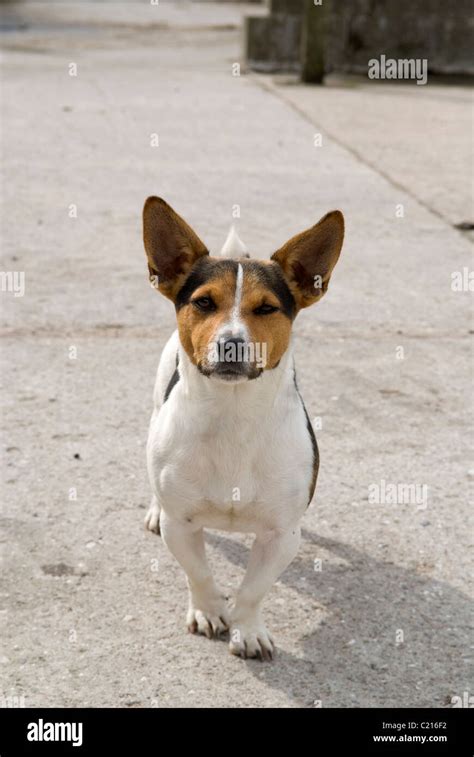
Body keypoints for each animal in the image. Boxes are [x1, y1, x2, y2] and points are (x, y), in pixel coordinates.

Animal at [141, 198, 344, 660]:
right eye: (203, 303)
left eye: (266, 308)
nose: (232, 343)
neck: (233, 415)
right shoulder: (181, 526)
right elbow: (199, 572)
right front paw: (209, 611)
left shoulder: (281, 536)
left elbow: (254, 590)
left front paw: (247, 629)